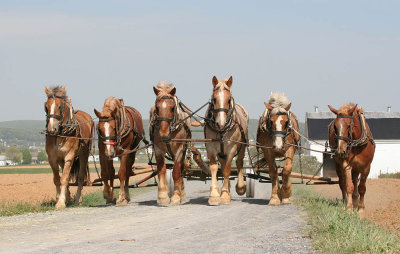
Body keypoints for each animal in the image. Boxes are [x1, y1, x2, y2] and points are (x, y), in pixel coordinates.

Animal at [205, 76, 248, 205]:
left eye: (229, 100)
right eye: (214, 99)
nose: (221, 123)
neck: (222, 130)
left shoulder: (231, 149)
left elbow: (228, 170)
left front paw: (224, 195)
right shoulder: (211, 148)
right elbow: (214, 167)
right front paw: (215, 195)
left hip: (242, 147)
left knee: (239, 162)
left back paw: (239, 187)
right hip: (221, 153)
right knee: (223, 165)